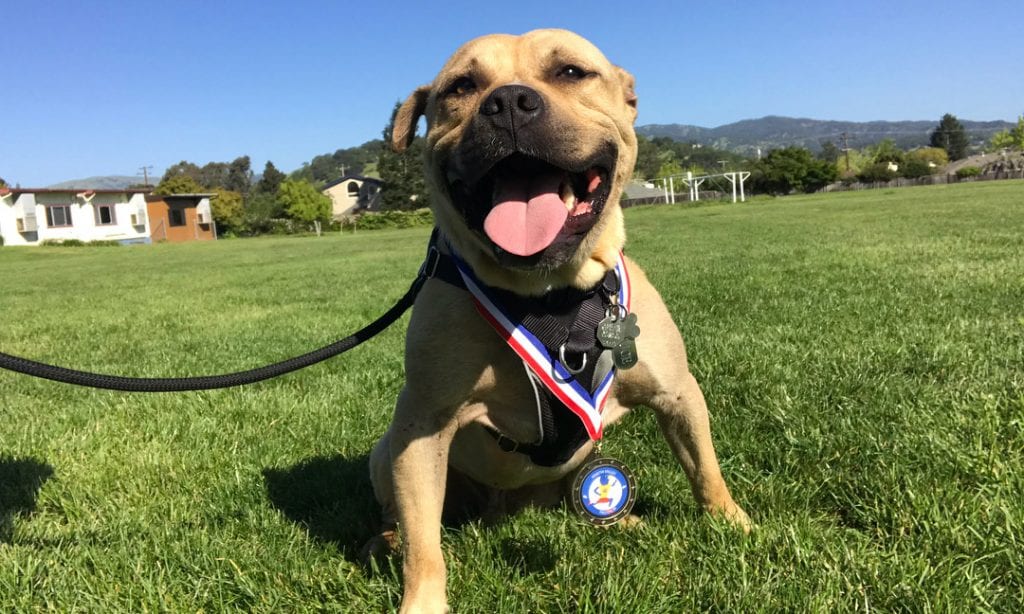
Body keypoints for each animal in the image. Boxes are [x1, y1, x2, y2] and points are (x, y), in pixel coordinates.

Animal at [364, 29, 749, 614]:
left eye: (570, 72)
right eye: (462, 87)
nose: (508, 102)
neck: (549, 294)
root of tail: (506, 509)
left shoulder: (679, 392)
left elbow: (705, 467)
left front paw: (733, 523)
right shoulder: (421, 425)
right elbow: (424, 543)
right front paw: (423, 601)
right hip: (385, 452)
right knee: (402, 517)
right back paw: (384, 539)